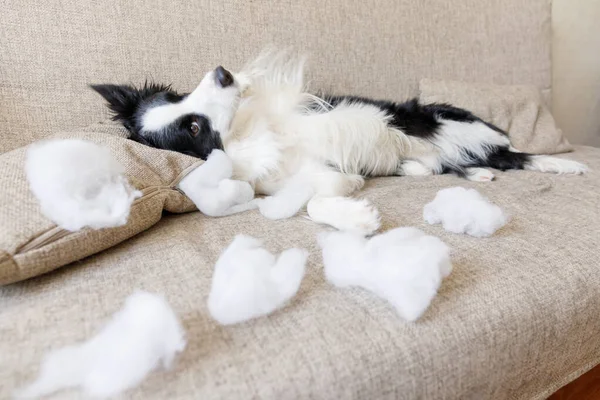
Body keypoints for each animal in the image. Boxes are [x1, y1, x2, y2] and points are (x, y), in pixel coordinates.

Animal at [91, 52, 588, 236]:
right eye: (193, 129)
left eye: (176, 97)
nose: (223, 73)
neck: (244, 137)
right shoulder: (301, 178)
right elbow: (313, 199)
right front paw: (356, 212)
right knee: (472, 163)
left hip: (451, 123)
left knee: (511, 152)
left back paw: (562, 165)